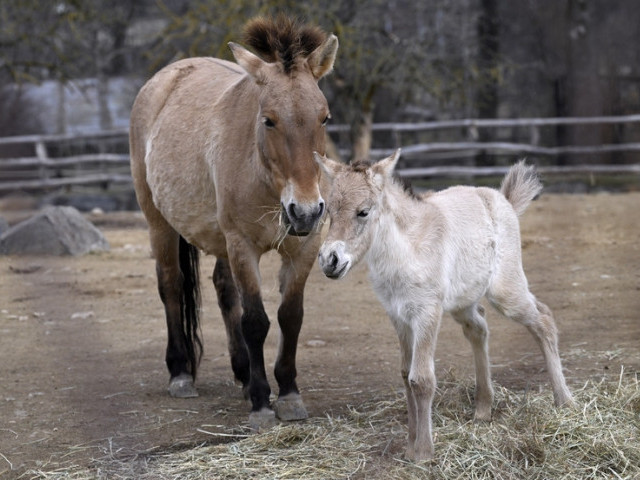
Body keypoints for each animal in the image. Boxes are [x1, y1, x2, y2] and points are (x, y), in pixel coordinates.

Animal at [131, 15, 340, 430]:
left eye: (324, 117)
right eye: (268, 120)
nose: (306, 211)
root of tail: (162, 81)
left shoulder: (303, 247)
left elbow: (290, 316)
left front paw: (288, 394)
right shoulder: (243, 245)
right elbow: (256, 320)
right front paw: (261, 403)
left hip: (219, 239)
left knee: (224, 290)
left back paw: (242, 372)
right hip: (159, 223)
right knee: (171, 285)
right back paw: (181, 373)